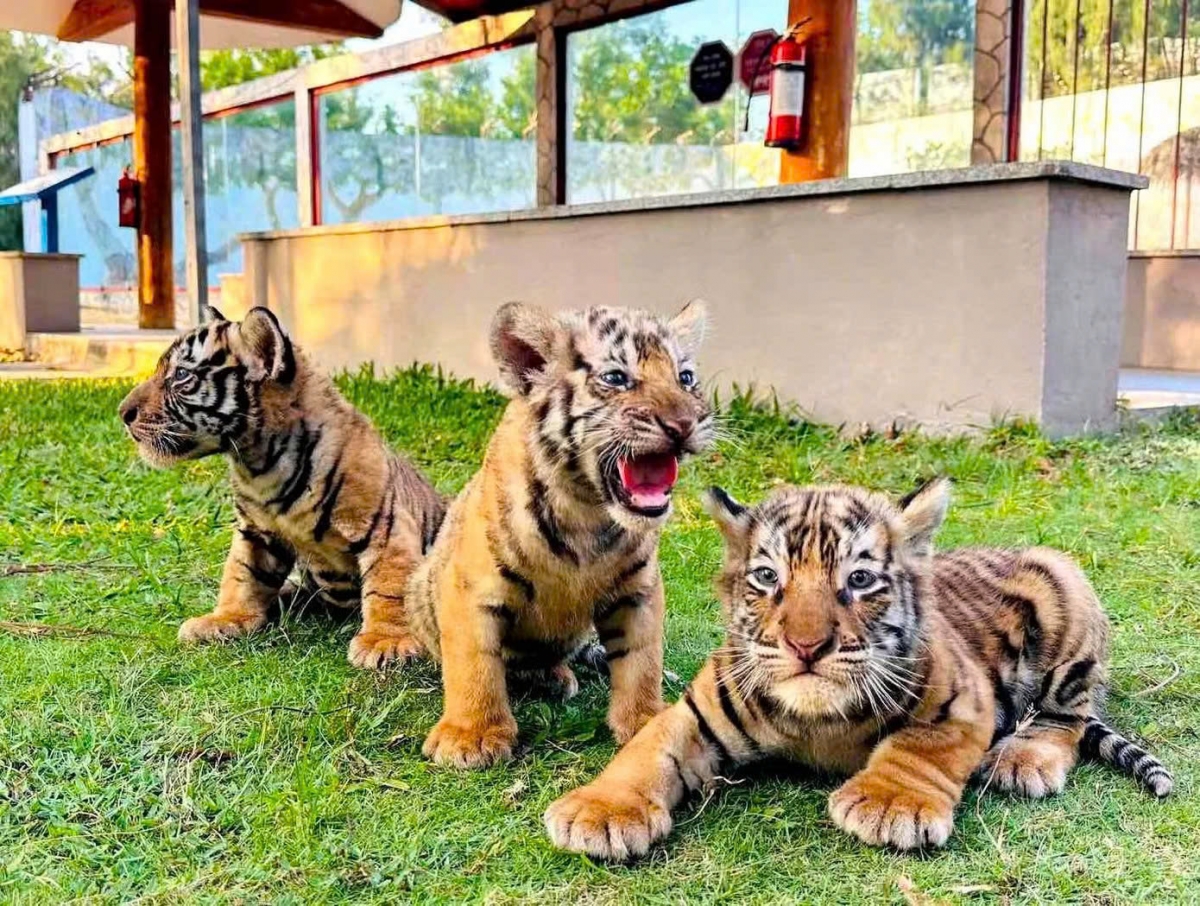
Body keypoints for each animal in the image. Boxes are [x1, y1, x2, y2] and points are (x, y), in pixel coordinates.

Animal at [118, 306, 446, 669]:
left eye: (180, 375)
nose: (123, 413)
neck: (259, 463)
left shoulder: (385, 528)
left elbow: (389, 587)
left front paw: (386, 641)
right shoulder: (255, 531)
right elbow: (241, 576)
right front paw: (226, 619)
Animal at [403, 300, 713, 769]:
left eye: (686, 377)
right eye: (616, 378)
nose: (685, 424)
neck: (587, 510)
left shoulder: (639, 590)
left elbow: (642, 659)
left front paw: (645, 722)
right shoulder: (471, 587)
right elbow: (474, 663)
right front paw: (471, 737)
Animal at [545, 478, 1172, 858]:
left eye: (860, 579)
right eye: (767, 577)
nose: (806, 646)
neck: (815, 721)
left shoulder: (965, 700)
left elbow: (921, 747)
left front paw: (890, 804)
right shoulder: (695, 711)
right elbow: (645, 751)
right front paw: (599, 812)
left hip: (1065, 589)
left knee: (1066, 715)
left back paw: (1023, 759)